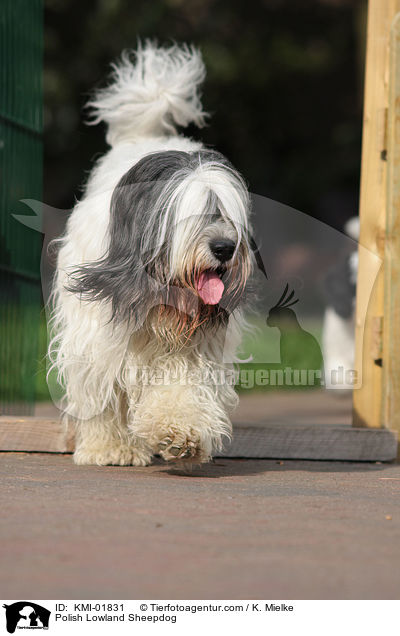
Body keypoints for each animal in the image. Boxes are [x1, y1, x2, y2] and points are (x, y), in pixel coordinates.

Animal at [50, 41, 256, 468]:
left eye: (226, 214)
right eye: (193, 212)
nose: (225, 248)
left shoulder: (195, 346)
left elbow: (180, 382)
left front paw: (181, 434)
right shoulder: (96, 333)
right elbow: (104, 387)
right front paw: (109, 446)